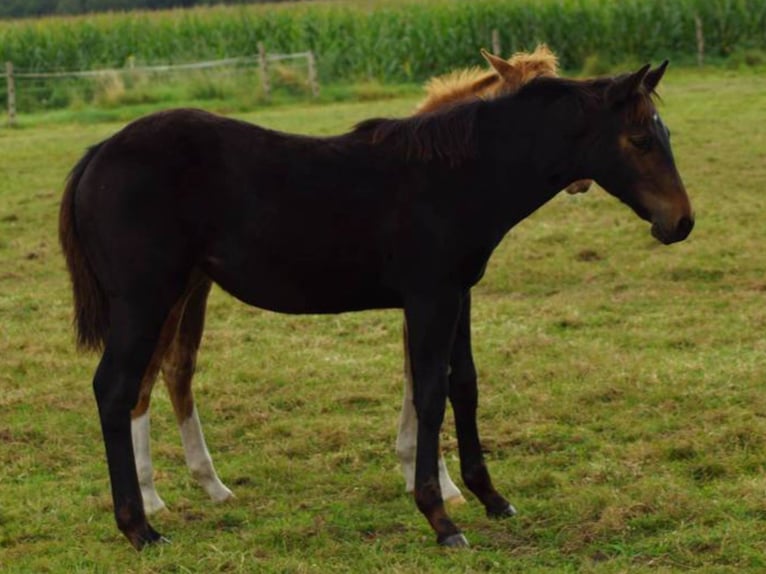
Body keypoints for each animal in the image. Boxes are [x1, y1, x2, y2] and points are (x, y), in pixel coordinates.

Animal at [59, 62, 693, 549]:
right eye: (640, 140)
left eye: (665, 136)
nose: (681, 222)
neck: (459, 174)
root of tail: (98, 153)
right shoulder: (430, 297)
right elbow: (430, 393)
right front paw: (440, 517)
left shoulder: (458, 293)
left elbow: (464, 385)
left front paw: (491, 497)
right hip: (145, 301)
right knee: (116, 388)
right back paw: (139, 528)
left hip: (176, 294)